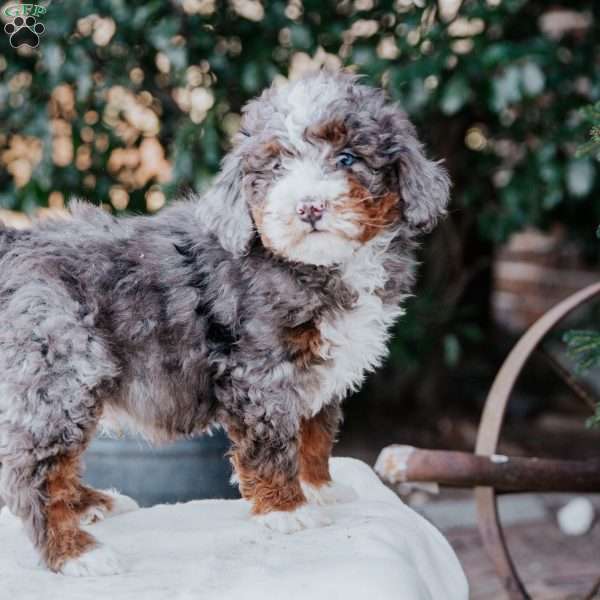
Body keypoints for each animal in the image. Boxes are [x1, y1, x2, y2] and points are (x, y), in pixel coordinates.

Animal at [0, 71, 450, 576]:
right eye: (276, 167)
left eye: (347, 158)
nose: (309, 207)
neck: (316, 265)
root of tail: (15, 243)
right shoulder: (261, 373)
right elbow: (272, 442)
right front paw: (287, 510)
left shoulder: (317, 372)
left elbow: (315, 430)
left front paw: (320, 487)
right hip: (59, 374)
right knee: (34, 471)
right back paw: (76, 552)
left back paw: (92, 505)